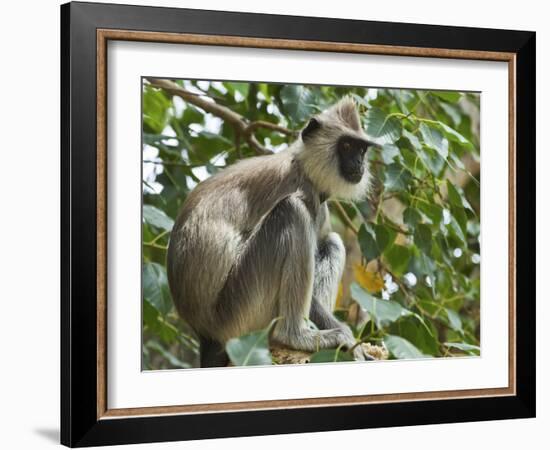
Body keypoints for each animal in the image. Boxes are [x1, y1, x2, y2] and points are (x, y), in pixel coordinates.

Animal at [166, 96, 378, 366]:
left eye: (361, 150)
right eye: (347, 145)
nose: (359, 164)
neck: (302, 166)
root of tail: (205, 331)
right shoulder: (300, 187)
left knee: (331, 241)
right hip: (238, 311)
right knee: (292, 211)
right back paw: (295, 336)